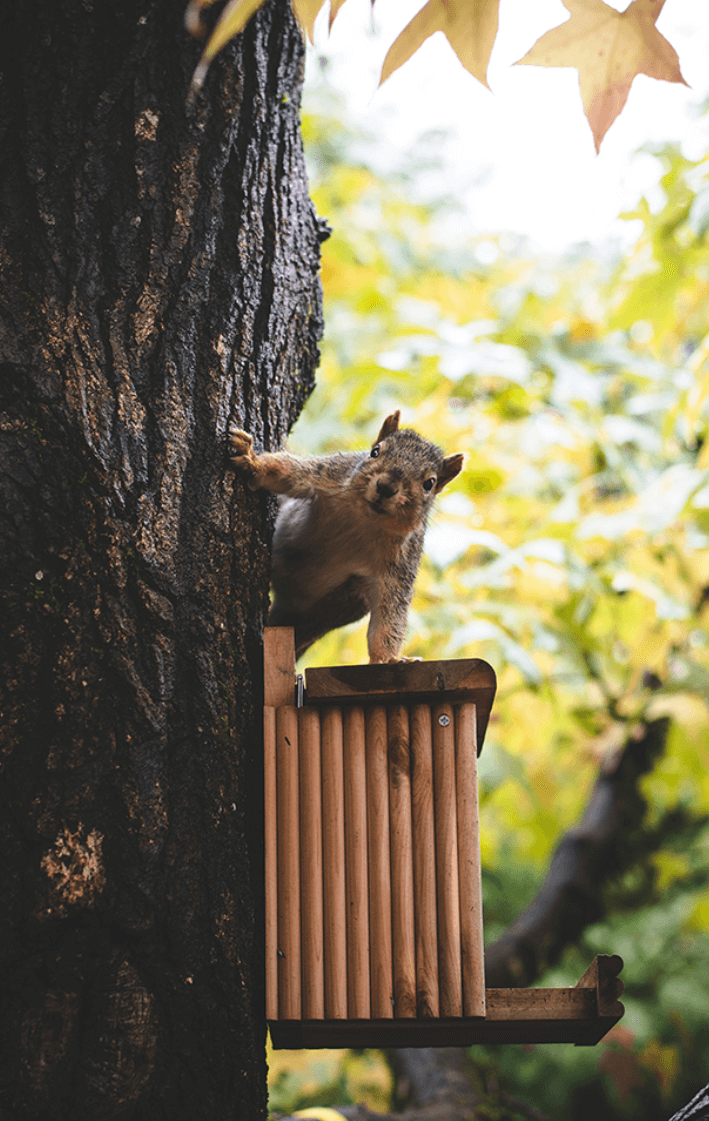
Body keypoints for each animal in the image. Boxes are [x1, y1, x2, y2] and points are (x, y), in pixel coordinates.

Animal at [228, 411, 464, 663]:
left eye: (429, 483)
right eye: (375, 451)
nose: (386, 486)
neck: (366, 520)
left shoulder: (400, 567)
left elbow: (390, 617)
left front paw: (388, 659)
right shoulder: (327, 475)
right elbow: (285, 472)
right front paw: (250, 459)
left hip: (343, 601)